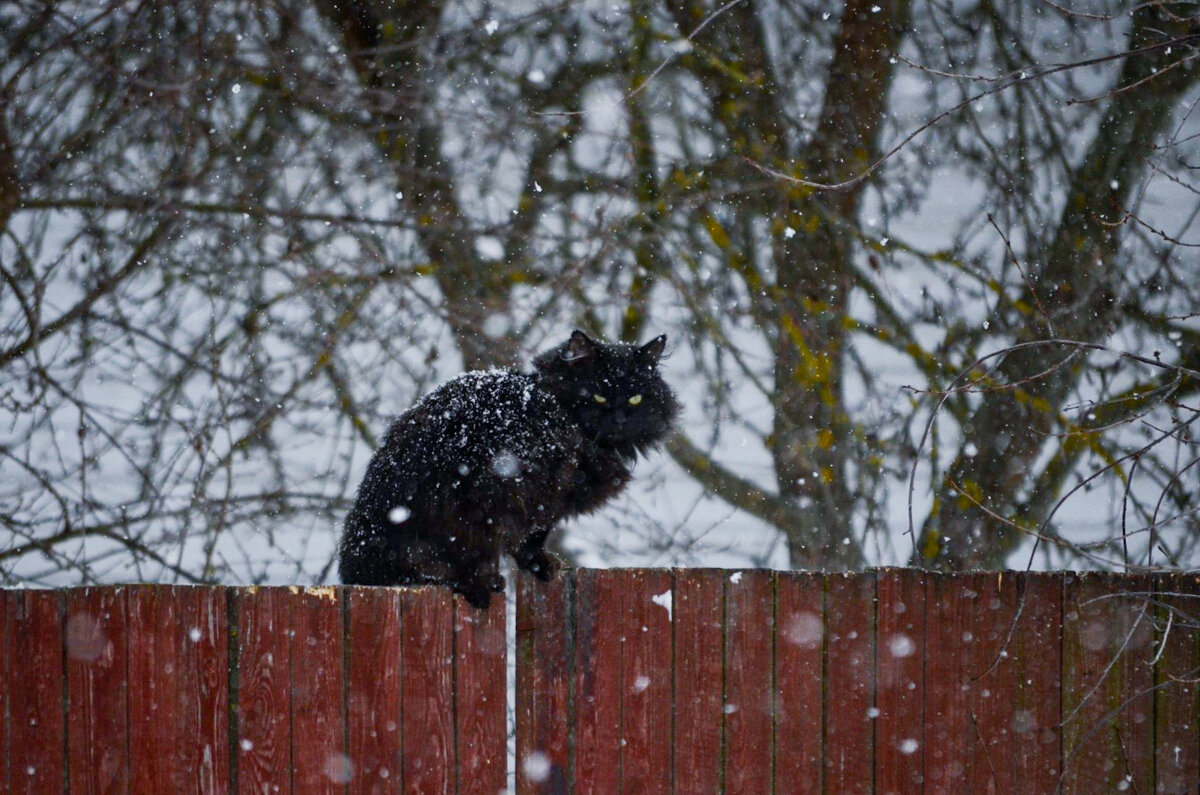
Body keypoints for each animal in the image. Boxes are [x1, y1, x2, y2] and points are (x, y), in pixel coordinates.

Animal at [338, 329, 681, 610]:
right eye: (597, 395)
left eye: (636, 398)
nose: (619, 418)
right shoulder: (551, 492)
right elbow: (533, 538)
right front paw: (542, 565)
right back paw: (477, 587)